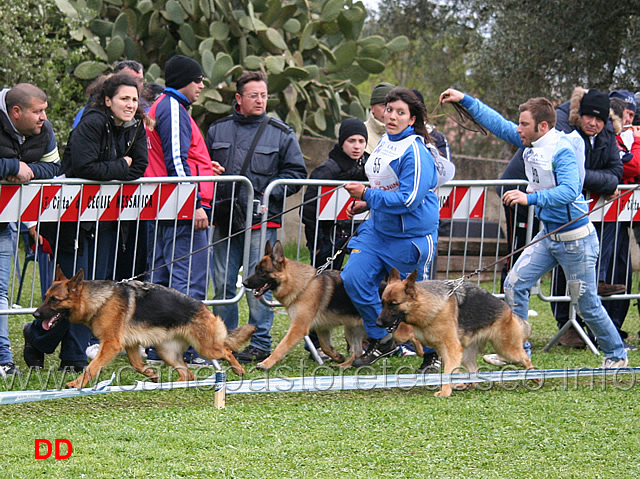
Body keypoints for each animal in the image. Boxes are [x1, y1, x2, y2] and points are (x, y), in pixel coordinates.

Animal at [34, 266, 255, 390]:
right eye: (45, 297)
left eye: (54, 300)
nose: (35, 314)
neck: (100, 300)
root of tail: (203, 307)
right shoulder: (130, 344)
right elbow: (136, 364)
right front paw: (151, 374)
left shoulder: (111, 344)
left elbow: (92, 367)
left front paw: (77, 384)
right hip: (167, 352)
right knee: (188, 373)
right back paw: (175, 384)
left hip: (206, 348)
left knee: (226, 350)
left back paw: (239, 369)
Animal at [241, 240, 420, 372]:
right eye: (255, 269)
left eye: (262, 272)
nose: (244, 283)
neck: (302, 284)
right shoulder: (322, 328)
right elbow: (326, 347)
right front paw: (337, 356)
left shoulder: (298, 328)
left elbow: (281, 347)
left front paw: (266, 363)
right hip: (352, 329)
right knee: (357, 352)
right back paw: (344, 365)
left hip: (395, 330)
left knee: (412, 334)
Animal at [378, 268, 532, 400]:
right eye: (383, 303)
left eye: (393, 304)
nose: (378, 323)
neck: (426, 304)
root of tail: (508, 310)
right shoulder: (444, 349)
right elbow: (451, 369)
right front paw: (454, 383)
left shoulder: (451, 348)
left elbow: (448, 371)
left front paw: (445, 391)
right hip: (467, 355)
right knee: (475, 371)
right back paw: (469, 384)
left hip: (506, 349)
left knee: (526, 359)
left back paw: (533, 377)